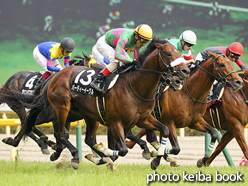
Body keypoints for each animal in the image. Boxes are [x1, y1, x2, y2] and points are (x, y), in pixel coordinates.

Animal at [7, 37, 190, 170]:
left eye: (179, 52)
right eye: (168, 53)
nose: (184, 71)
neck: (135, 86)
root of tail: (56, 76)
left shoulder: (142, 119)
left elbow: (164, 130)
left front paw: (158, 158)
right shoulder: (115, 122)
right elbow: (121, 149)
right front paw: (104, 156)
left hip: (88, 115)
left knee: (81, 137)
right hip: (61, 107)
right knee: (49, 130)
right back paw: (69, 154)